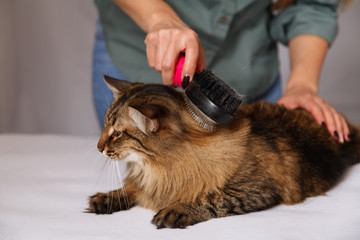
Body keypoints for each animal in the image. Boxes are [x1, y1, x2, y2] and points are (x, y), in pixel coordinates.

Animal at [87, 76, 360, 229]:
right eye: (105, 126)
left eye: (117, 133)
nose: (98, 148)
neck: (158, 167)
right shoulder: (148, 182)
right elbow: (131, 189)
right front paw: (107, 197)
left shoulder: (256, 189)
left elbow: (210, 198)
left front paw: (178, 209)